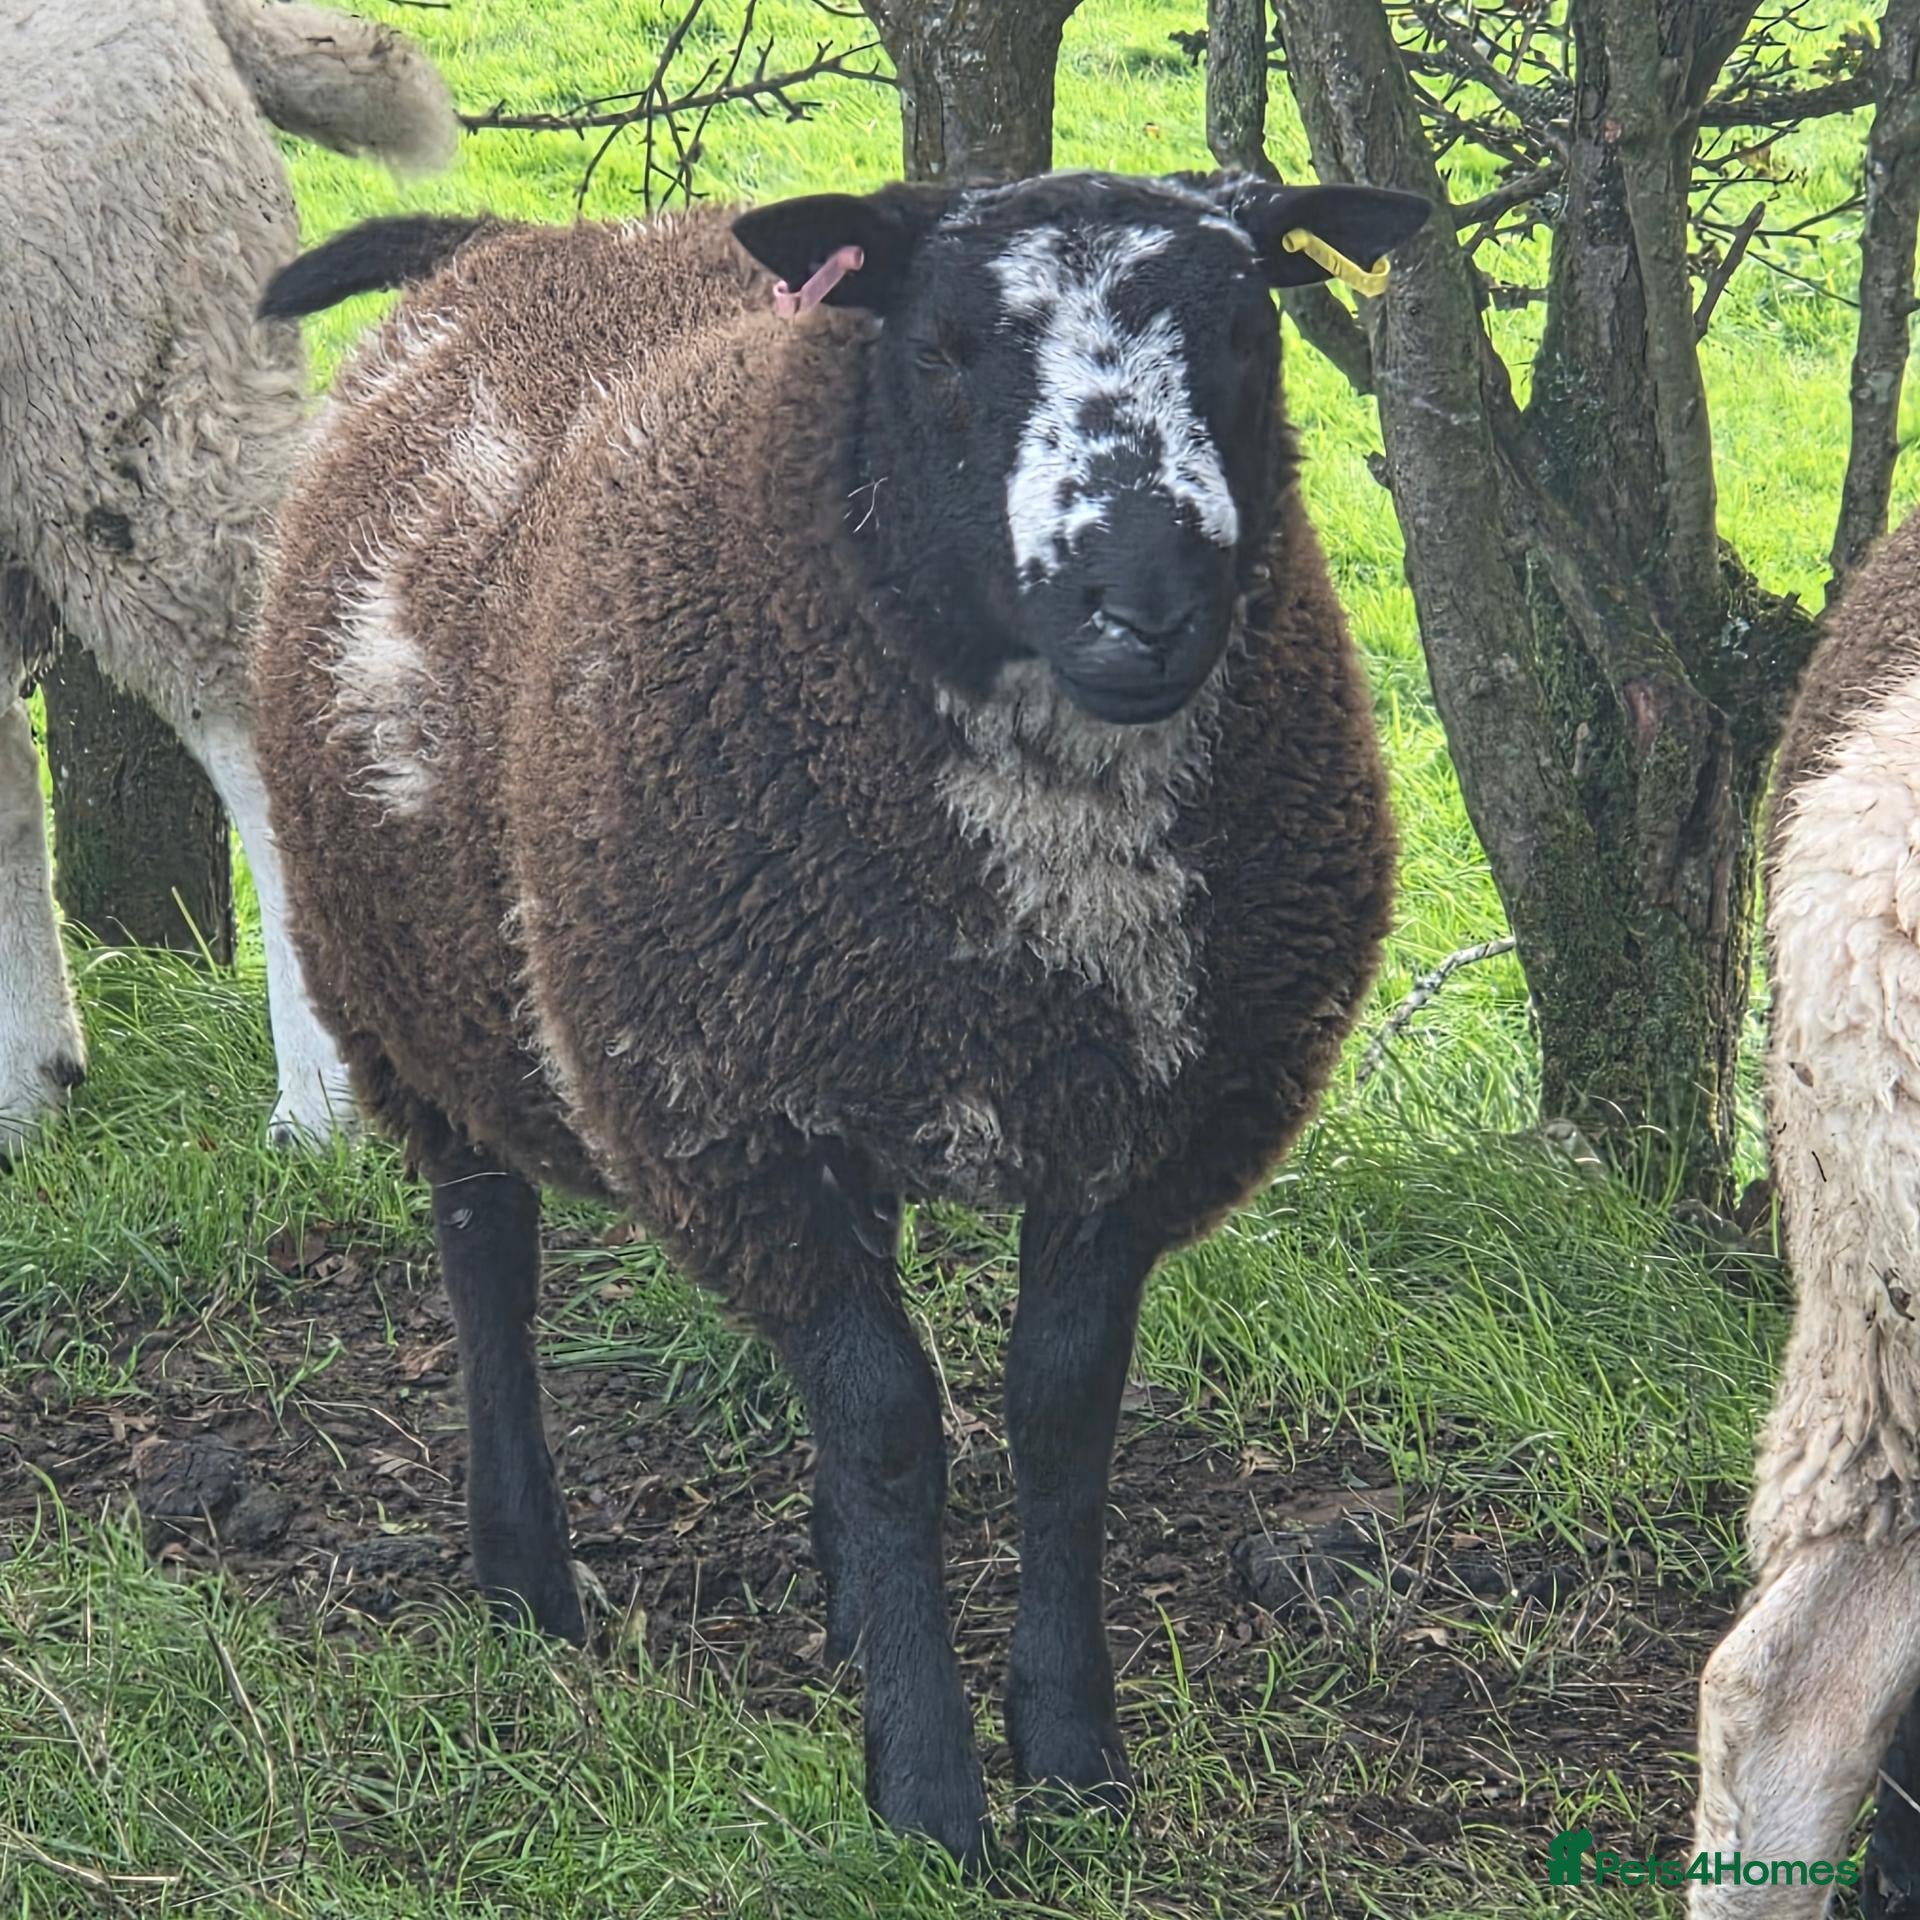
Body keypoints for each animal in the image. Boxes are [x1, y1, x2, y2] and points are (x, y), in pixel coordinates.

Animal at [250, 171, 1431, 1863]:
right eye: (941, 348)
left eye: (1249, 327)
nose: (1143, 607)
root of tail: (521, 239)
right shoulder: (733, 1117)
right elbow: (886, 1429)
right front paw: (931, 1801)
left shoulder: (1136, 1128)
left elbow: (1057, 1415)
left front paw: (1073, 1757)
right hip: (411, 987)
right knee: (487, 1255)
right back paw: (526, 1578)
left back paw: (834, 1604)